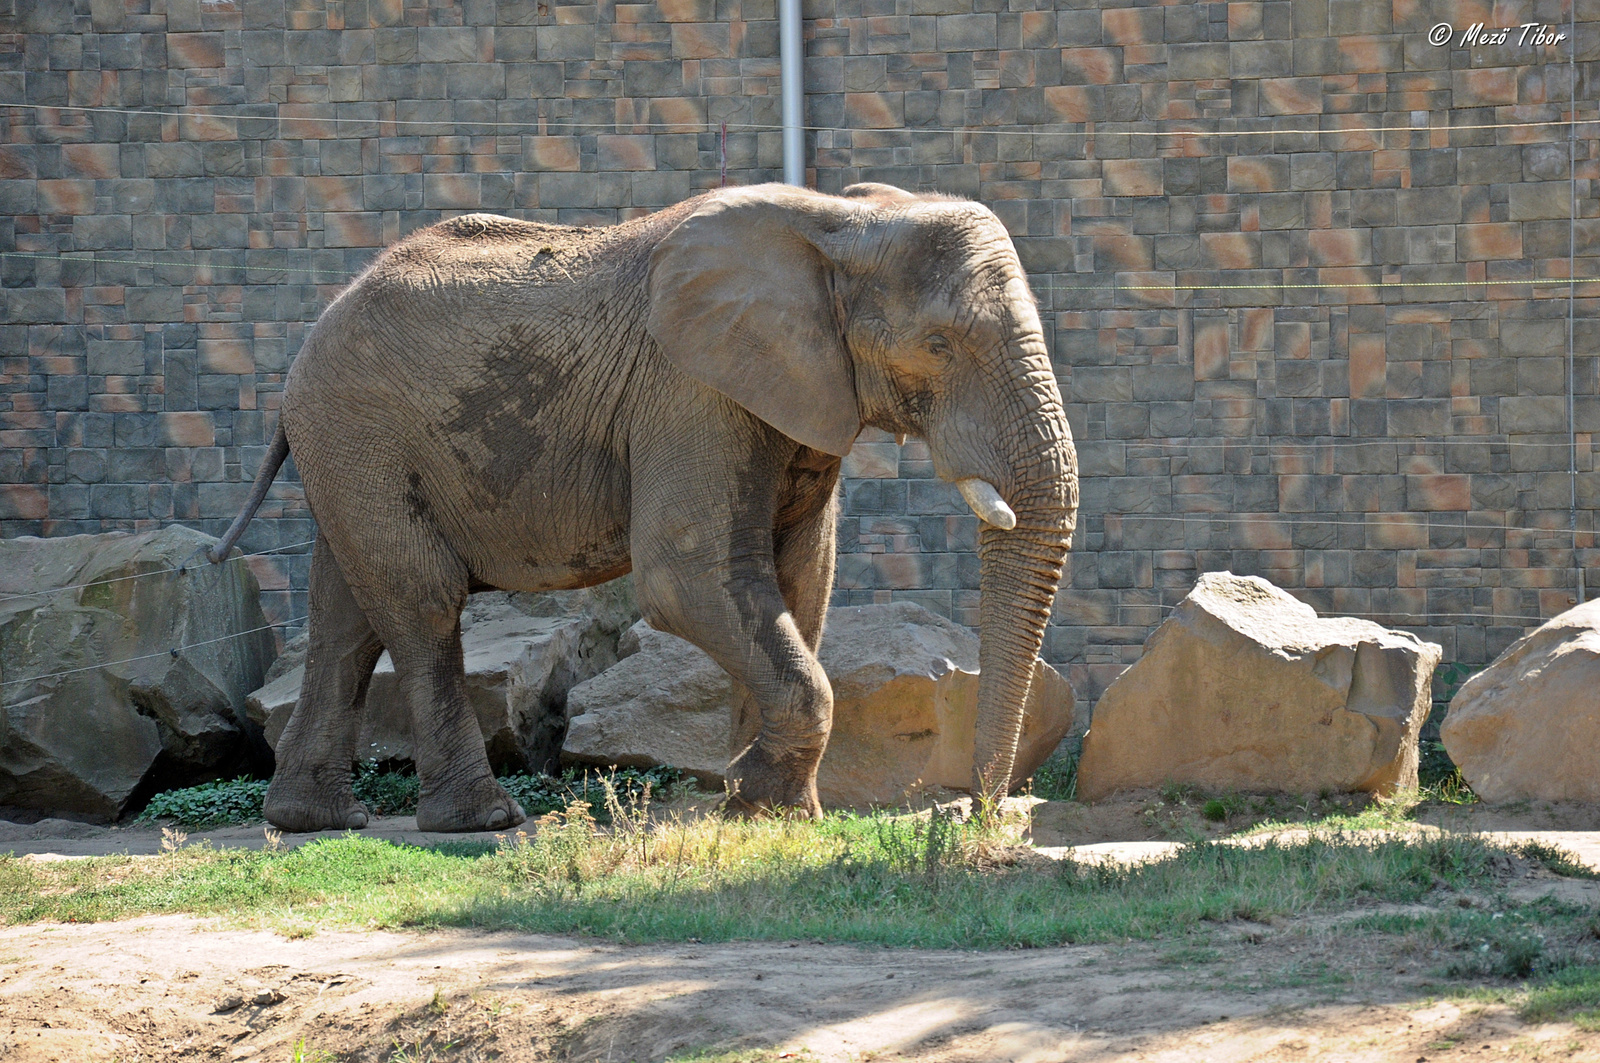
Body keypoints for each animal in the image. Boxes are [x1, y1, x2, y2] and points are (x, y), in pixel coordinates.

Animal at [209, 180, 1075, 832]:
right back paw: (481, 821)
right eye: (939, 345)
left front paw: (764, 806)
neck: (838, 220)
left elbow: (801, 579)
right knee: (421, 601)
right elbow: (687, 577)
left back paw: (312, 819)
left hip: (348, 450)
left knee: (348, 615)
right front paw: (759, 798)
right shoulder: (687, 391)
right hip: (359, 433)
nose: (975, 815)